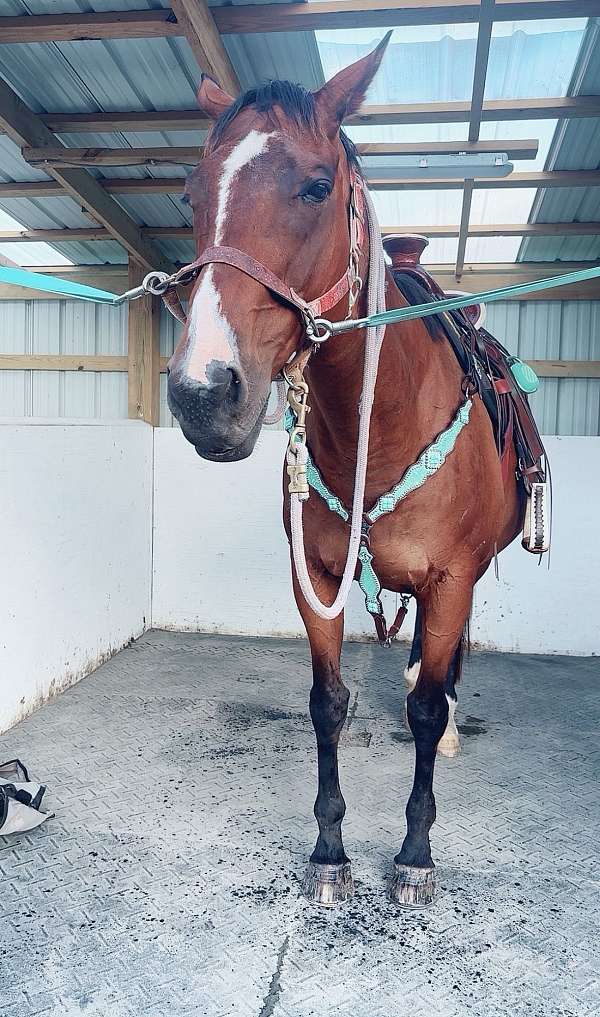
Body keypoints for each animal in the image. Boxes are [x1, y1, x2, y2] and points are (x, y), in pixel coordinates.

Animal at [166, 36, 523, 908]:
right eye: (192, 191)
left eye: (317, 185)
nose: (203, 393)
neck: (382, 424)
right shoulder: (317, 576)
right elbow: (327, 704)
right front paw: (329, 848)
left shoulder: (451, 578)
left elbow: (422, 710)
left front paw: (415, 852)